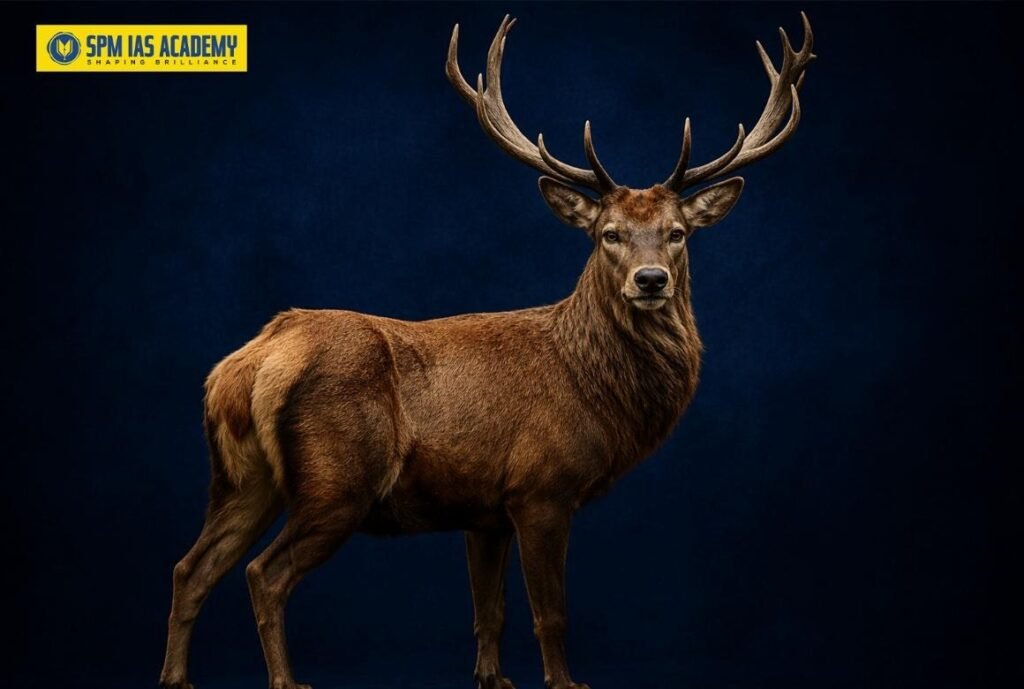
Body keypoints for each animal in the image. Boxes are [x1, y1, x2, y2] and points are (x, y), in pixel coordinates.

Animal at [159, 12, 815, 689]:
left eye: (678, 232)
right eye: (608, 234)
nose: (651, 279)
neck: (595, 389)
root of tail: (247, 363)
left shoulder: (484, 509)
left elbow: (489, 608)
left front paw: (493, 678)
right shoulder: (542, 486)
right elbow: (549, 611)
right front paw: (564, 681)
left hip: (242, 478)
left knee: (189, 567)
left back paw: (176, 676)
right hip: (337, 478)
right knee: (263, 575)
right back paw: (286, 679)